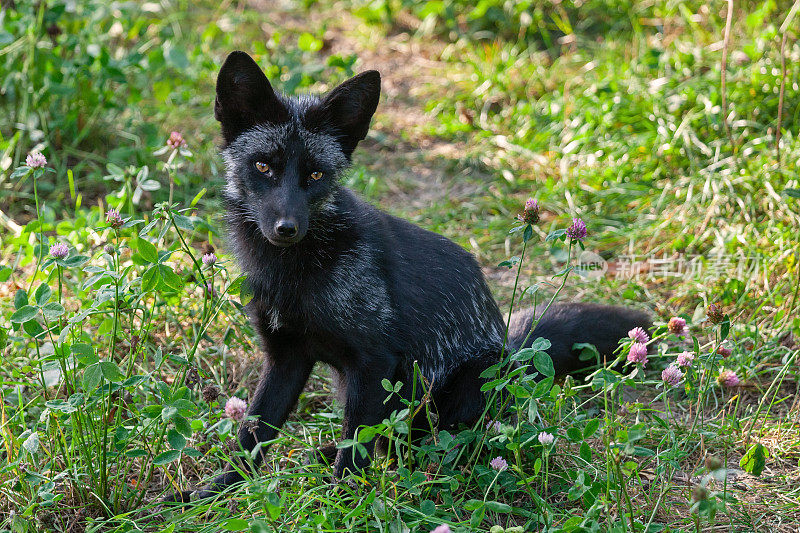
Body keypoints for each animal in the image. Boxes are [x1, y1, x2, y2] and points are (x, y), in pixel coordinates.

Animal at [180, 52, 648, 496]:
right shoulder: (286, 356)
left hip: (465, 389)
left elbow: (354, 451)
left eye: (315, 174)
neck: (295, 276)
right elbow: (252, 437)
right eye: (263, 167)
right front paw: (212, 494)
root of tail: (514, 349)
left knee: (434, 448)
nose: (286, 228)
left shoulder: (374, 360)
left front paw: (343, 501)